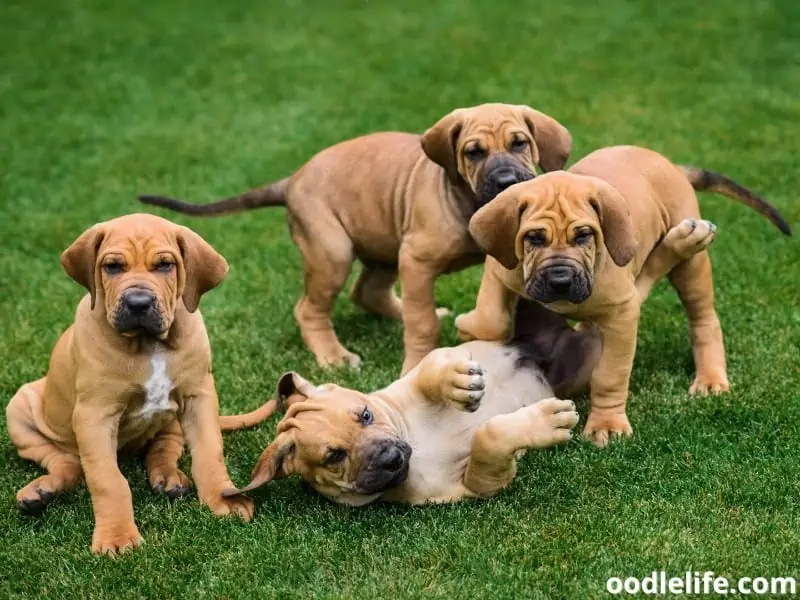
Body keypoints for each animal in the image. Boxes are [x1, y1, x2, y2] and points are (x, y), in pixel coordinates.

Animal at [5, 213, 253, 556]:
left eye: (165, 265)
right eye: (112, 266)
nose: (138, 303)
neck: (148, 344)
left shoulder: (199, 397)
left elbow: (209, 453)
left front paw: (222, 497)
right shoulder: (94, 416)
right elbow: (108, 480)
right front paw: (117, 536)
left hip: (172, 420)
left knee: (164, 446)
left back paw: (169, 477)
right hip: (20, 406)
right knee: (66, 463)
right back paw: (42, 490)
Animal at [141, 103, 572, 376]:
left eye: (519, 143)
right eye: (473, 152)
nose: (506, 181)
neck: (466, 200)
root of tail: (292, 181)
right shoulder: (416, 260)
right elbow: (421, 325)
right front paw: (417, 364)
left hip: (382, 247)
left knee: (369, 292)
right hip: (333, 253)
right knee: (311, 309)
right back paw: (334, 356)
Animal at [222, 300, 596, 506]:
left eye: (366, 415)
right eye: (334, 457)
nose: (390, 459)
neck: (416, 440)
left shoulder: (422, 370)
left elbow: (431, 370)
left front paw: (457, 382)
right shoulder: (475, 486)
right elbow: (487, 442)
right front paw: (547, 422)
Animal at [454, 144, 792, 446]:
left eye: (584, 236)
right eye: (534, 238)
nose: (560, 281)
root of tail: (671, 165)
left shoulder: (622, 315)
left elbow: (610, 375)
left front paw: (607, 424)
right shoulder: (499, 271)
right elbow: (491, 321)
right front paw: (469, 325)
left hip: (691, 271)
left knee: (702, 317)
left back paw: (709, 375)